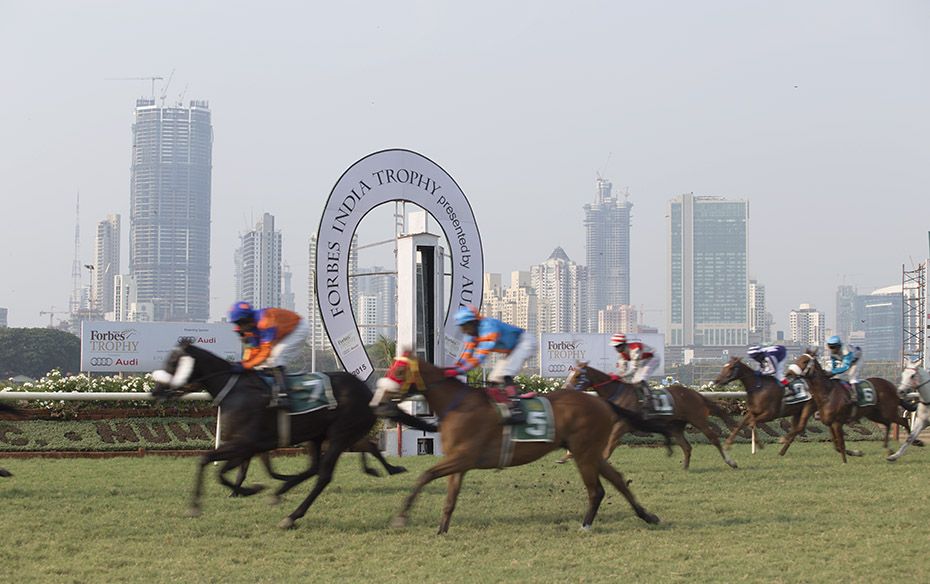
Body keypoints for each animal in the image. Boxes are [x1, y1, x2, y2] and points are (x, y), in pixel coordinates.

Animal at [370, 352, 660, 532]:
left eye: (399, 370)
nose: (379, 400)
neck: (457, 405)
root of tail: (602, 402)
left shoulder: (463, 457)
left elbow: (425, 476)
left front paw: (400, 518)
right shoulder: (459, 462)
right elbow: (450, 499)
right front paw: (442, 529)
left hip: (583, 452)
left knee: (596, 490)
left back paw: (586, 524)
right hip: (591, 452)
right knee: (618, 480)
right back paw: (647, 515)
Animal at [560, 364, 736, 470]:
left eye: (577, 376)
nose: (564, 389)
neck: (618, 395)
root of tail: (695, 393)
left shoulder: (622, 426)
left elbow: (609, 447)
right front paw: (567, 456)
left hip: (697, 419)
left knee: (713, 438)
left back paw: (731, 462)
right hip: (675, 426)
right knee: (686, 446)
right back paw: (685, 467)